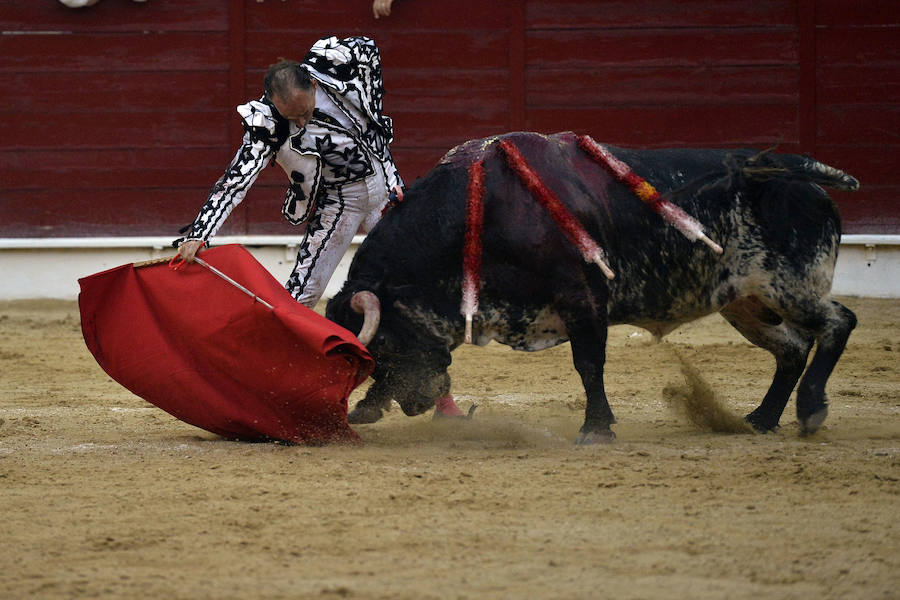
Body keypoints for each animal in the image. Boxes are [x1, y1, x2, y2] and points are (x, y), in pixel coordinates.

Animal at [326, 130, 860, 440]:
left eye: (386, 344)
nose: (414, 405)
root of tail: (805, 183)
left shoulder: (584, 299)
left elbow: (588, 364)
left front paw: (597, 428)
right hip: (745, 302)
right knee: (792, 347)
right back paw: (762, 420)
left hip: (788, 286)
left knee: (839, 322)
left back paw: (810, 411)